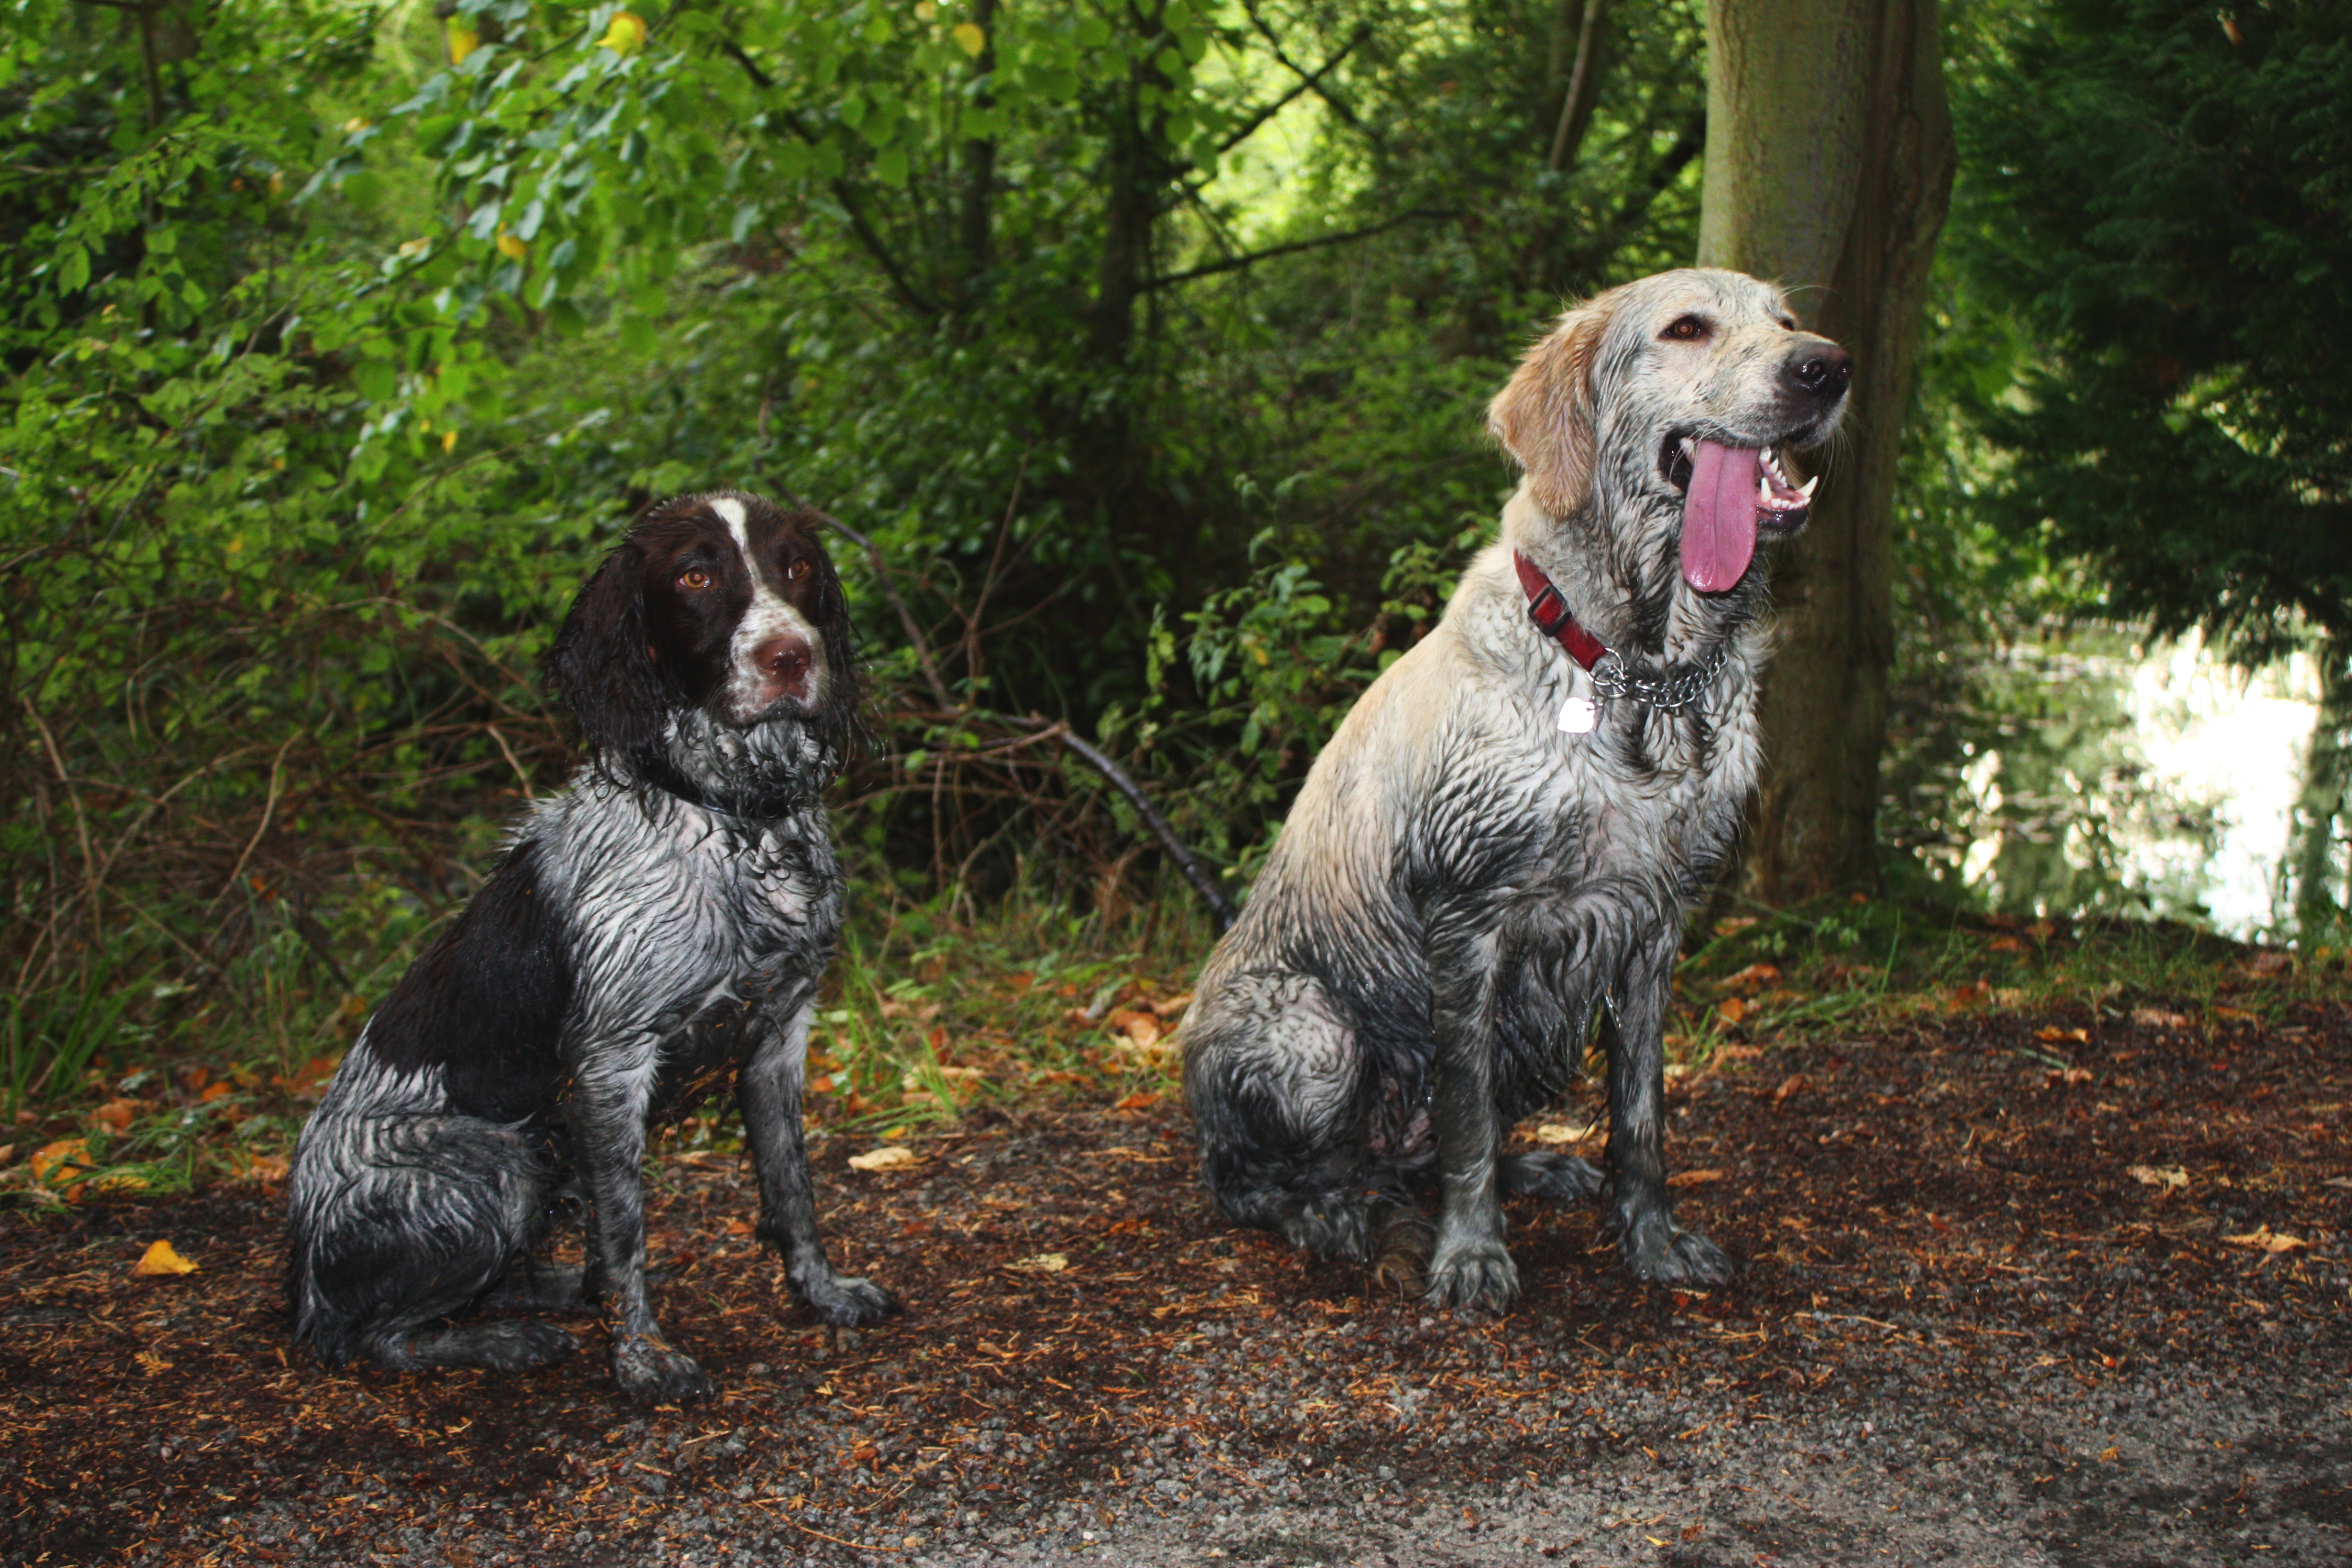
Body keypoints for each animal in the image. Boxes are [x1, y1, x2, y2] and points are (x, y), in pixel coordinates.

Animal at [284, 486, 889, 1401]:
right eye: (695, 576)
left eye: (796, 566)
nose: (790, 657)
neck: (737, 821)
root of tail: (304, 1271)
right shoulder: (612, 1062)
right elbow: (626, 1227)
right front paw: (642, 1358)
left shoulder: (780, 1036)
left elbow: (794, 1191)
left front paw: (822, 1293)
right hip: (497, 1163)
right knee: (372, 1337)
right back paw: (506, 1339)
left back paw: (560, 1292)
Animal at [1185, 273, 1844, 1316]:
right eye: (1687, 327)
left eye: (1786, 321)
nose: (1827, 367)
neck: (1640, 674)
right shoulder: (1470, 925)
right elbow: (1465, 1120)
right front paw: (1471, 1256)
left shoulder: (1652, 930)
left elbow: (1640, 1116)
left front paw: (1649, 1239)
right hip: (1313, 1033)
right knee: (1256, 1176)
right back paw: (1328, 1214)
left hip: (1537, 1039)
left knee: (1417, 1155)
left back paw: (1530, 1169)